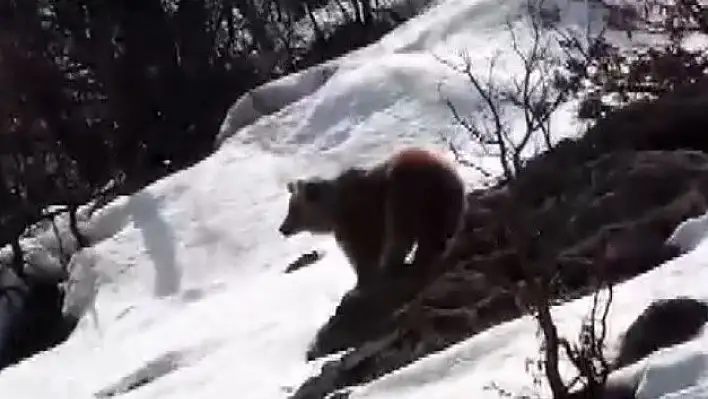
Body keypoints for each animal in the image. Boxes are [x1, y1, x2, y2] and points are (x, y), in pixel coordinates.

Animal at [280, 147, 468, 288]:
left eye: (293, 209)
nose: (282, 229)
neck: (334, 210)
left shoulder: (358, 218)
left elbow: (361, 250)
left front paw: (362, 280)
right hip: (449, 202)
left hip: (403, 191)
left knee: (400, 232)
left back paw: (392, 266)